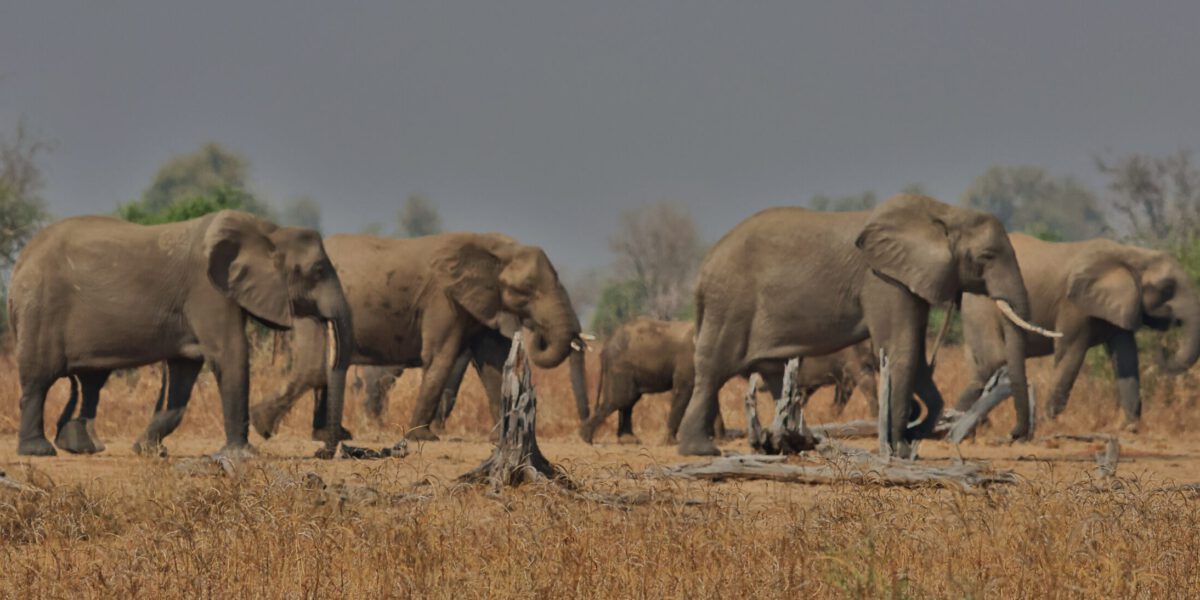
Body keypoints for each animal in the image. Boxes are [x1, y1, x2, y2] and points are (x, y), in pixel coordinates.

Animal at [7, 210, 354, 457]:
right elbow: (230, 354)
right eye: (318, 272)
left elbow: (185, 372)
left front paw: (148, 450)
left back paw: (80, 448)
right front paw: (244, 454)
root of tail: (21, 260)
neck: (268, 232)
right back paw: (39, 451)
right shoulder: (207, 290)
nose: (324, 452)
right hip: (40, 309)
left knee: (89, 381)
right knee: (39, 379)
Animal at [247, 232, 589, 443]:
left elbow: (494, 365)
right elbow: (440, 358)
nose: (536, 331)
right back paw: (263, 425)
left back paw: (330, 435)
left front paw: (499, 438)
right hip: (309, 304)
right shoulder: (443, 299)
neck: (495, 247)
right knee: (315, 367)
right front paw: (421, 437)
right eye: (527, 289)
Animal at [578, 317, 879, 445]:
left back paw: (626, 440)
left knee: (626, 402)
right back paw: (588, 438)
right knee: (621, 400)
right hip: (621, 368)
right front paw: (670, 442)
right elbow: (687, 393)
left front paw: (719, 439)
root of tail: (605, 347)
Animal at [676, 193, 1056, 457]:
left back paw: (787, 442)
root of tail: (702, 269)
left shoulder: (908, 281)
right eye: (986, 257)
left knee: (773, 373)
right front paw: (902, 447)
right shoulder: (882, 280)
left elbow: (916, 356)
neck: (943, 213)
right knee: (712, 371)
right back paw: (701, 450)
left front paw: (915, 429)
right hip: (730, 305)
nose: (1015, 435)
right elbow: (902, 348)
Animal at [956, 233, 1200, 427]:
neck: (1131, 254)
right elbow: (1070, 353)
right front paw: (1049, 424)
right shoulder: (1073, 306)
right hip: (980, 306)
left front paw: (1129, 427)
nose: (1163, 347)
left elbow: (1126, 358)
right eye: (1167, 288)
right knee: (992, 362)